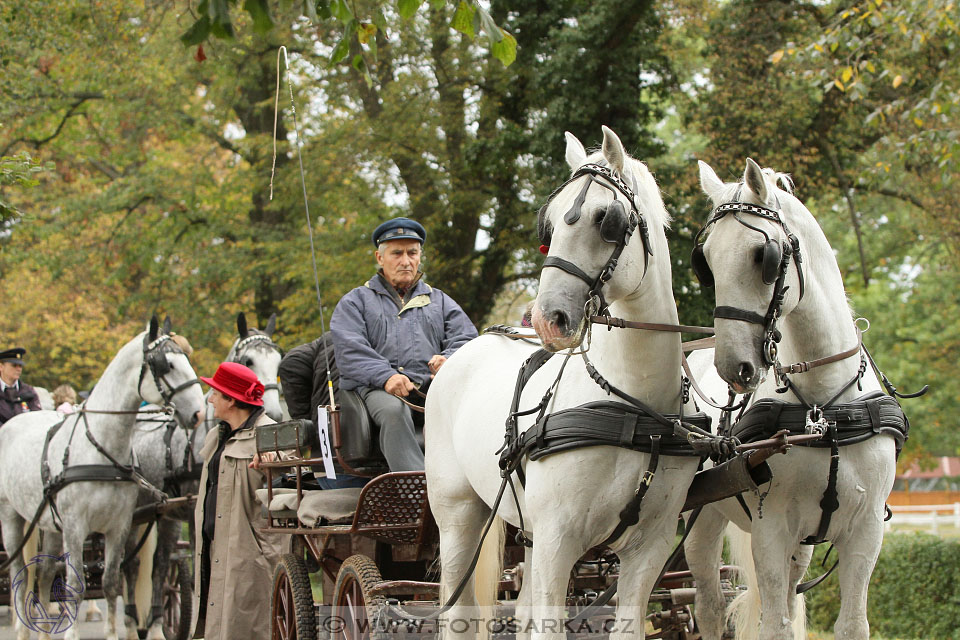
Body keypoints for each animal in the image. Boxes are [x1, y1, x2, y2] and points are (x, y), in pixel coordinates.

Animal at [0, 316, 204, 640]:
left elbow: (109, 581)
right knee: (21, 573)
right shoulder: (75, 526)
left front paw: (111, 632)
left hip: (50, 525)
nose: (198, 413)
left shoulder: (118, 525)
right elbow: (75, 585)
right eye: (166, 365)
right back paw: (23, 631)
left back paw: (43, 630)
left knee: (45, 574)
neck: (101, 447)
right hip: (11, 519)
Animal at [428, 126, 704, 640]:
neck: (631, 408)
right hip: (457, 516)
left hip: (531, 534)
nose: (547, 319)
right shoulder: (559, 541)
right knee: (458, 611)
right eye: (549, 225)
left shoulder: (649, 548)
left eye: (607, 219)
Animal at [688, 159, 904, 640]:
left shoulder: (865, 532)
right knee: (708, 606)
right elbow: (775, 625)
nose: (734, 367)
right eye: (705, 261)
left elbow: (851, 624)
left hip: (803, 545)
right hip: (701, 517)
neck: (823, 412)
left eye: (763, 256)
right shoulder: (771, 529)